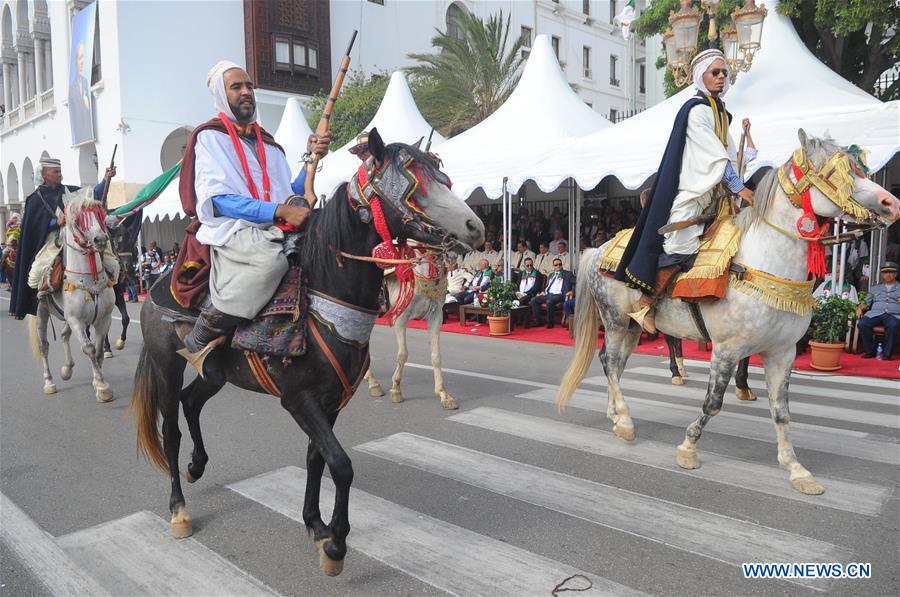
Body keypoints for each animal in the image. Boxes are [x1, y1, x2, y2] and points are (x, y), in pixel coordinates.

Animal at [29, 187, 118, 400]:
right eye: (77, 221)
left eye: (99, 215)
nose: (100, 240)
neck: (90, 280)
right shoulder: (76, 320)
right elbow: (89, 348)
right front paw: (102, 386)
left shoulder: (104, 318)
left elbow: (99, 351)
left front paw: (97, 382)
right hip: (42, 311)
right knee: (44, 345)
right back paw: (49, 382)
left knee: (63, 335)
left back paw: (67, 370)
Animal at [362, 251, 458, 410]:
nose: (452, 257)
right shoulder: (400, 317)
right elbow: (403, 354)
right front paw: (396, 390)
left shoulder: (436, 316)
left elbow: (436, 356)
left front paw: (444, 394)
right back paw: (372, 382)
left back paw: (370, 380)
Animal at [556, 130, 900, 494]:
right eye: (837, 173)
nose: (891, 204)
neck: (762, 262)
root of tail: (598, 248)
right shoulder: (726, 349)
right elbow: (713, 403)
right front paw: (688, 449)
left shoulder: (782, 353)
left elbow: (781, 411)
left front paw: (796, 469)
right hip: (616, 320)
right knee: (610, 362)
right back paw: (625, 421)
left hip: (633, 327)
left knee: (614, 364)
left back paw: (616, 415)